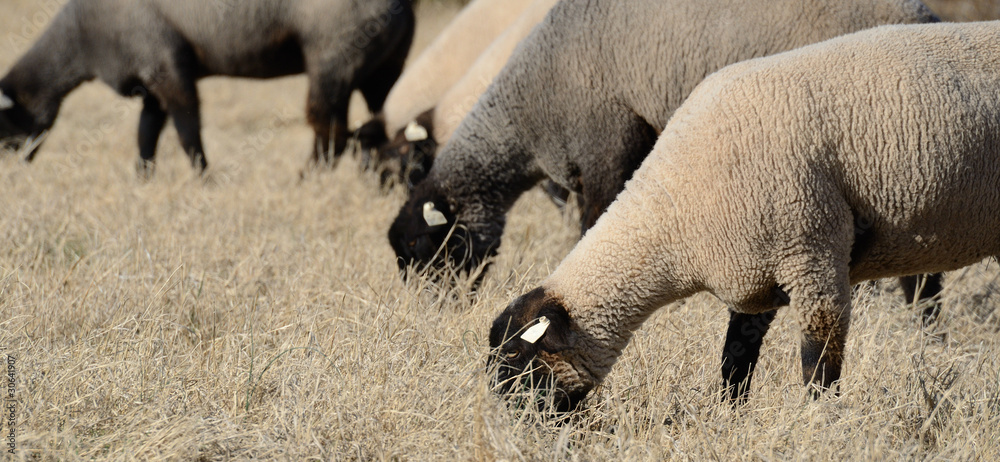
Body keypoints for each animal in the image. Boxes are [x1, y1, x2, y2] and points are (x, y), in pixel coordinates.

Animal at [0, 0, 414, 176]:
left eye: (3, 129)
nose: (10, 174)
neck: (79, 39)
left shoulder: (167, 67)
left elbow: (187, 131)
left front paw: (203, 177)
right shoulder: (152, 82)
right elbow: (146, 134)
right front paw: (143, 178)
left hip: (334, 59)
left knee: (331, 133)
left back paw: (307, 180)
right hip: (383, 69)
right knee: (386, 124)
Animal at [489, 20, 1000, 409]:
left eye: (516, 362)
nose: (509, 425)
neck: (671, 218)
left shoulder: (811, 256)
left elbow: (819, 362)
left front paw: (819, 422)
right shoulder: (754, 273)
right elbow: (736, 359)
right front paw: (729, 414)